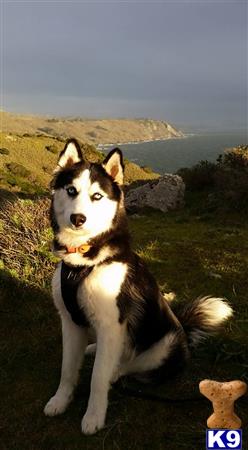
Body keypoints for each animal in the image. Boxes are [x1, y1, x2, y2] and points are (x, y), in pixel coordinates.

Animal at [44, 139, 232, 434]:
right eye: (71, 190)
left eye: (97, 196)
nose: (78, 219)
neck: (84, 259)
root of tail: (184, 332)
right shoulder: (70, 321)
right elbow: (67, 370)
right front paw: (60, 400)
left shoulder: (111, 323)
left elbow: (97, 377)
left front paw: (94, 416)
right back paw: (93, 349)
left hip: (163, 345)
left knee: (127, 366)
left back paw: (115, 371)